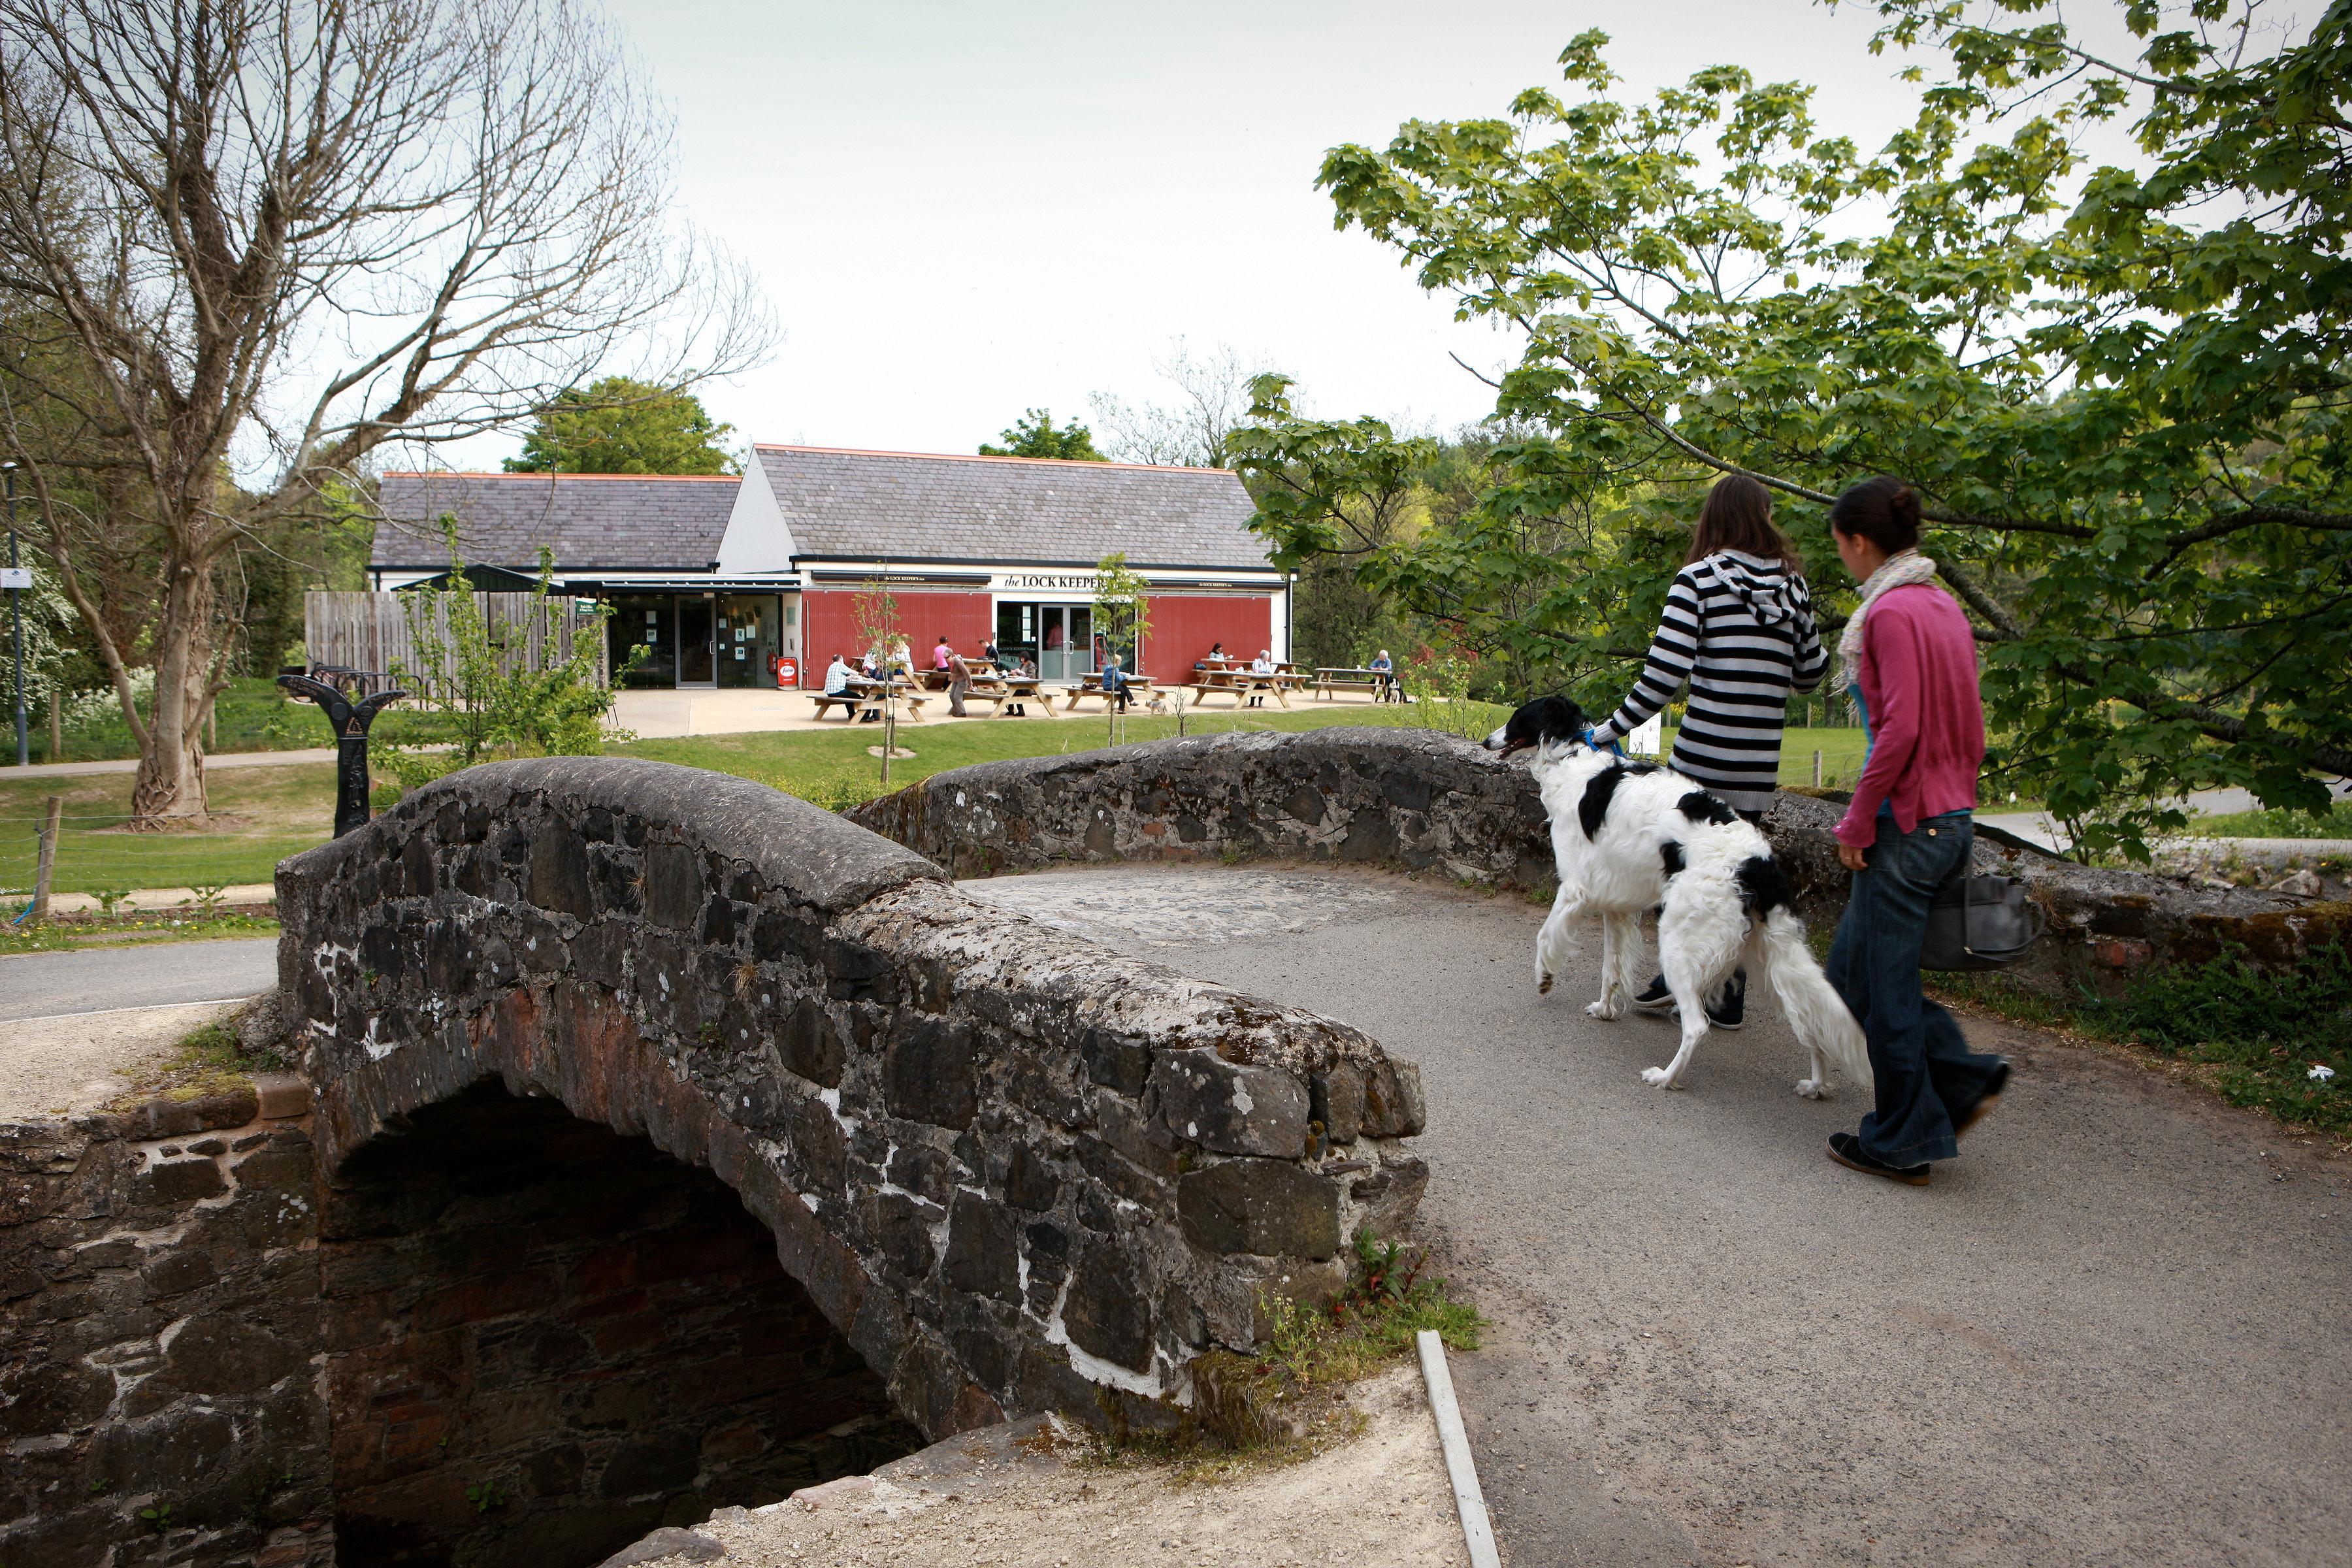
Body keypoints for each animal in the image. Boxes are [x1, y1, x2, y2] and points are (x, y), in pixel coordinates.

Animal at [1486, 691, 1872, 1100]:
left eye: (1517, 717)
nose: (1486, 742)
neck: (1571, 757)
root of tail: (1754, 863)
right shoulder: (1614, 905)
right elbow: (1611, 968)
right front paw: (1605, 1010)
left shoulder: (1575, 888)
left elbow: (1545, 936)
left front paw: (1545, 977)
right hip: (1770, 956)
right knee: (1810, 1022)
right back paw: (1816, 1085)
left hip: (1679, 943)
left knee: (1697, 1025)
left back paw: (1666, 1078)